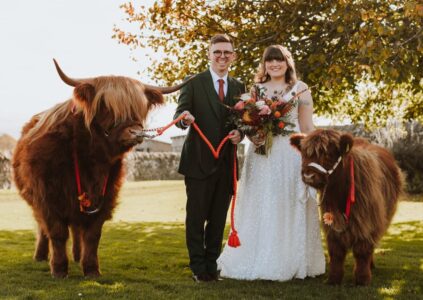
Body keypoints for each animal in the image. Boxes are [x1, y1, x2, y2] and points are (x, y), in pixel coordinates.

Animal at [12, 59, 189, 278]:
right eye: (105, 106)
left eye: (140, 107)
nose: (135, 132)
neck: (90, 159)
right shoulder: (48, 198)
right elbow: (57, 232)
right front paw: (59, 269)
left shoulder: (106, 196)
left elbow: (92, 235)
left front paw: (91, 269)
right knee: (43, 228)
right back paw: (41, 256)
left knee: (76, 228)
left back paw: (77, 255)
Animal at [292, 129, 404, 286]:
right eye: (304, 154)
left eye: (327, 154)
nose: (308, 175)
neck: (340, 193)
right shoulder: (331, 224)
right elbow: (336, 252)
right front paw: (334, 278)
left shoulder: (366, 222)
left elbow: (362, 250)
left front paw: (363, 279)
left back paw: (371, 265)